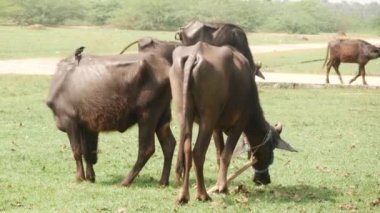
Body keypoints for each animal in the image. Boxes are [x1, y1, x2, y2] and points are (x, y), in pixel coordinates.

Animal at [47, 50, 177, 186]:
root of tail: (166, 68)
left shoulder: (70, 121)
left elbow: (77, 151)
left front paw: (79, 177)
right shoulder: (86, 126)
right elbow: (87, 152)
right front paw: (90, 177)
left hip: (147, 115)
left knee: (146, 149)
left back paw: (125, 181)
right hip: (163, 117)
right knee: (169, 144)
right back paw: (163, 182)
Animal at [170, 41, 296, 203]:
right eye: (270, 149)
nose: (264, 180)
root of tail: (195, 54)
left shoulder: (216, 128)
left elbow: (219, 155)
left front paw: (220, 184)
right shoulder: (240, 123)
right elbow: (226, 154)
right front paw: (222, 187)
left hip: (184, 114)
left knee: (186, 149)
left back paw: (183, 195)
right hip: (207, 118)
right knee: (197, 152)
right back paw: (202, 194)